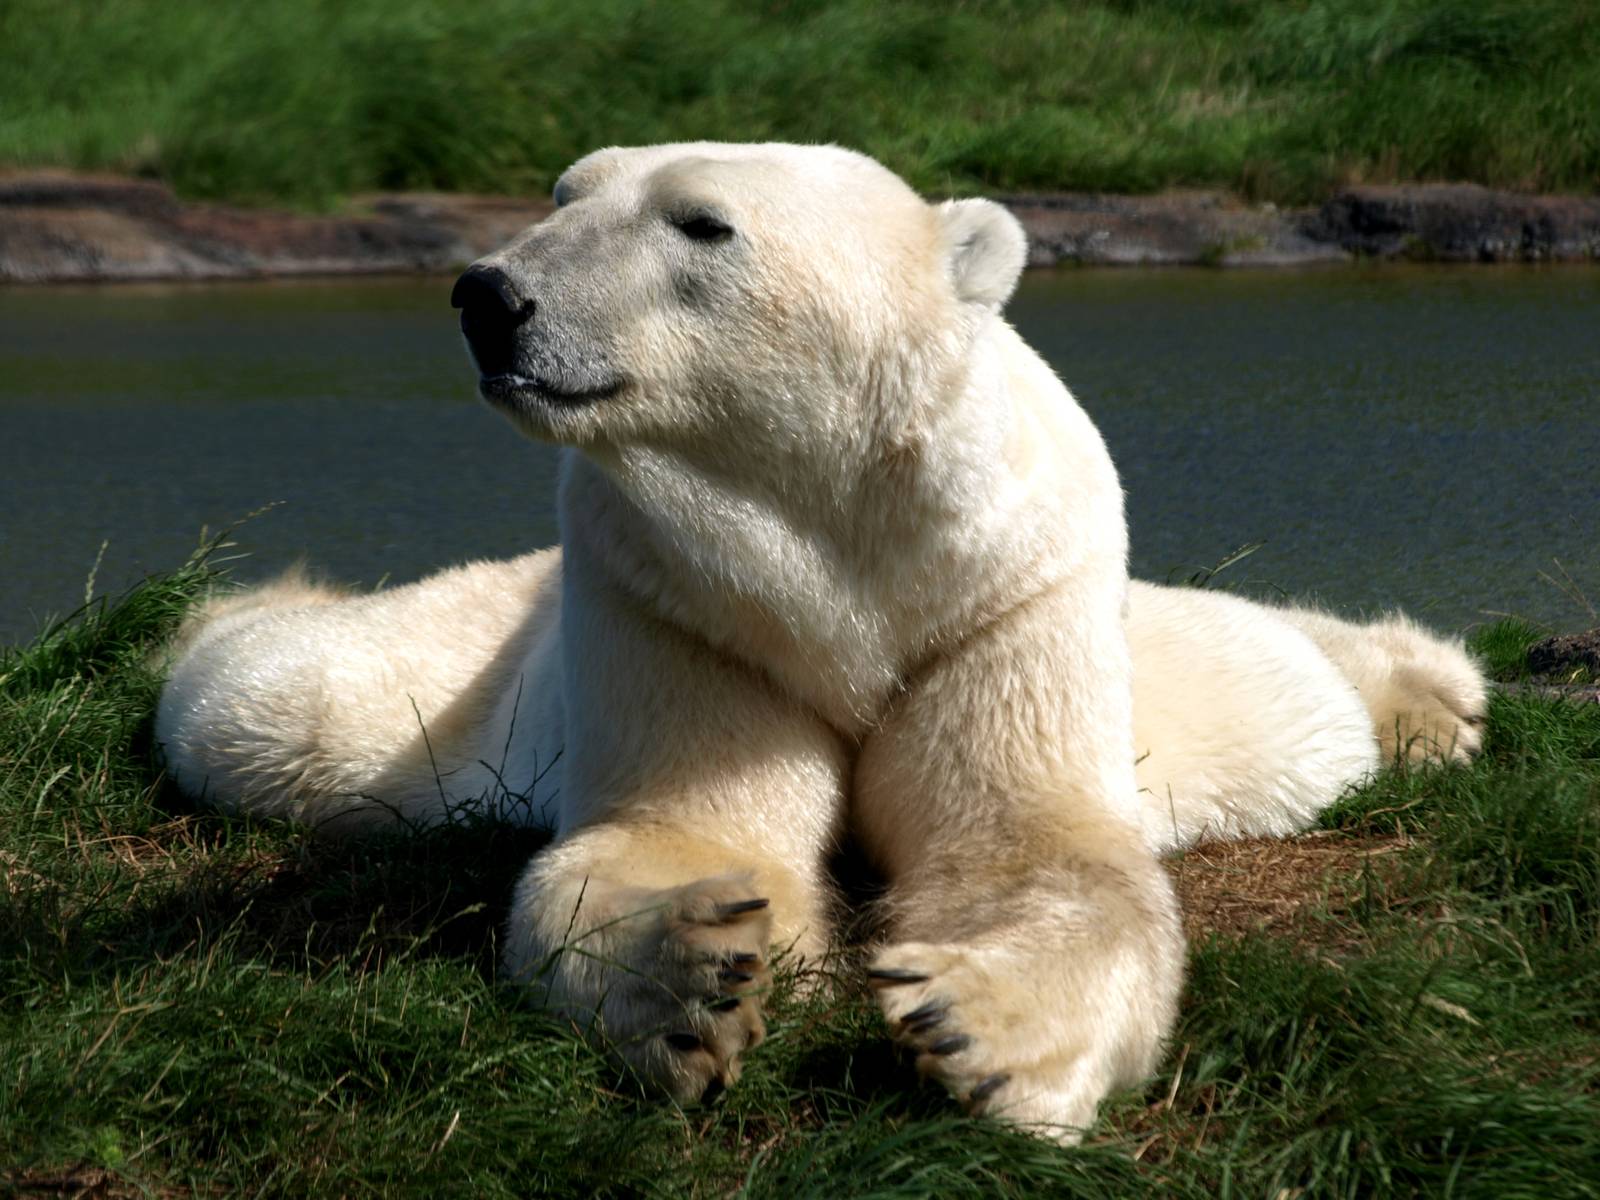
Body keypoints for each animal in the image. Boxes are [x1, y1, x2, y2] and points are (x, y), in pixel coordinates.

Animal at [155, 142, 1487, 1142]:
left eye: (701, 223)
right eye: (564, 194)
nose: (489, 297)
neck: (837, 538)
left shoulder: (1007, 590)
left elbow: (1033, 846)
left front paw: (975, 1026)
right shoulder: (668, 594)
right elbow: (678, 832)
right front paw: (694, 977)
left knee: (1284, 695)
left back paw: (1432, 699)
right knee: (273, 704)